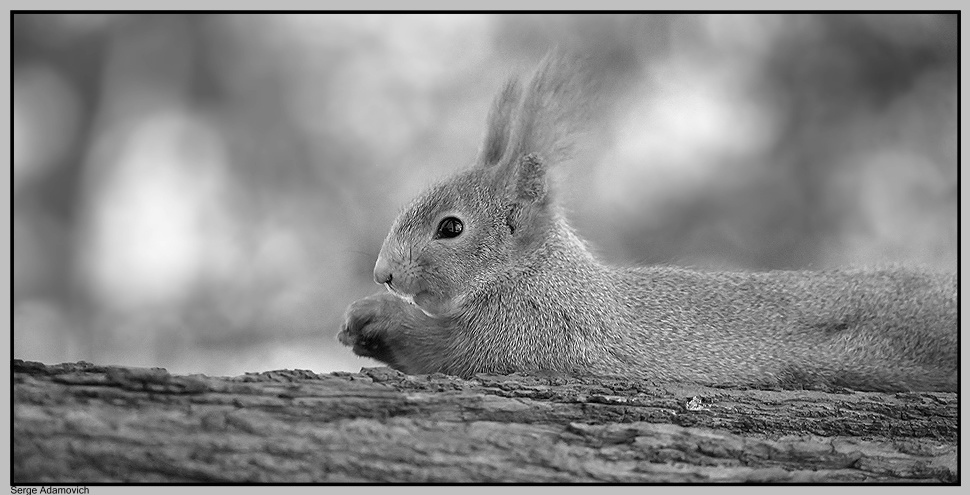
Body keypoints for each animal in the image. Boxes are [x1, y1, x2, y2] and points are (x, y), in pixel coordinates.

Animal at [337, 53, 958, 393]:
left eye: (451, 228)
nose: (383, 273)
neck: (537, 276)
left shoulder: (540, 338)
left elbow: (454, 354)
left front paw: (380, 316)